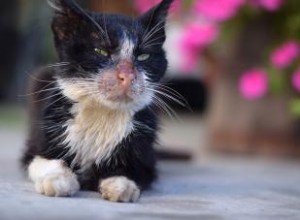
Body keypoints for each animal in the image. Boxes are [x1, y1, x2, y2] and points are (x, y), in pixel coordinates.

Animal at [21, 0, 173, 203]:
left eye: (143, 56)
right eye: (101, 51)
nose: (127, 75)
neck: (102, 115)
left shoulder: (146, 157)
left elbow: (134, 170)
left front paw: (121, 184)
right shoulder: (38, 140)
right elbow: (38, 160)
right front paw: (59, 179)